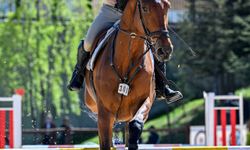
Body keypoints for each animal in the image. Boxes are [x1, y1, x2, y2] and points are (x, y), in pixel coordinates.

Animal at [84, 0, 172, 149]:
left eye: (167, 7)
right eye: (145, 8)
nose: (165, 50)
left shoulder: (146, 100)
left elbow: (136, 125)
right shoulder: (105, 112)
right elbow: (105, 141)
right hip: (91, 103)